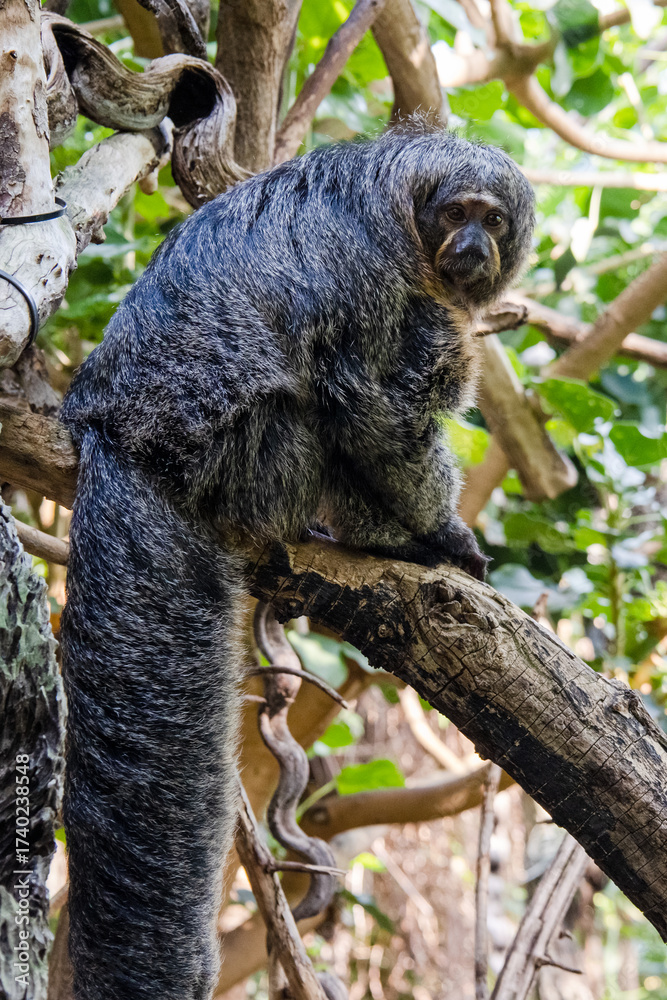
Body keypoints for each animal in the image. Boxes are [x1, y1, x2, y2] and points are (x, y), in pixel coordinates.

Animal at [59, 124, 534, 1000]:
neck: (405, 217)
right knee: (338, 400)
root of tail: (123, 436)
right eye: (456, 213)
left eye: (490, 218)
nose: (473, 246)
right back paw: (378, 538)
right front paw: (436, 533)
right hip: (254, 452)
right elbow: (377, 405)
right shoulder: (383, 281)